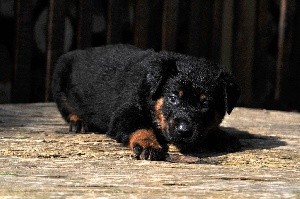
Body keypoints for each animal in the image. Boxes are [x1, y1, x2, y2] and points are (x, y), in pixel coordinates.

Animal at [51, 44, 241, 161]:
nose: (184, 131)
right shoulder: (125, 113)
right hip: (60, 79)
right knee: (66, 107)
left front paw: (221, 135)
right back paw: (78, 121)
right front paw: (148, 144)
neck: (149, 87)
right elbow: (141, 128)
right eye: (173, 98)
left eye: (205, 104)